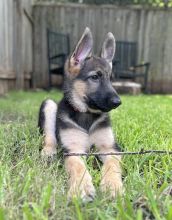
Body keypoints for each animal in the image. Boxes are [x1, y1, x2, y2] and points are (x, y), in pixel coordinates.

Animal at [38, 27, 123, 201]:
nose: (118, 102)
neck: (87, 114)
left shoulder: (110, 148)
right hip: (49, 105)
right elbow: (77, 166)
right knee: (49, 137)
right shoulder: (73, 149)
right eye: (95, 77)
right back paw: (48, 152)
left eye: (110, 79)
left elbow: (112, 164)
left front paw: (112, 185)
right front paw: (82, 188)